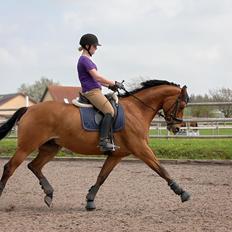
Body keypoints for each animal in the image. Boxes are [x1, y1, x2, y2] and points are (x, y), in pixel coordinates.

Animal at [0, 80, 190, 210]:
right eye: (181, 104)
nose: (176, 128)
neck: (136, 110)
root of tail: (29, 109)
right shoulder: (141, 149)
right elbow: (161, 169)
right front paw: (182, 192)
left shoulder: (116, 155)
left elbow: (102, 176)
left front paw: (90, 200)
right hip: (27, 146)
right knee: (10, 167)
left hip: (50, 147)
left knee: (34, 166)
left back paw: (49, 193)